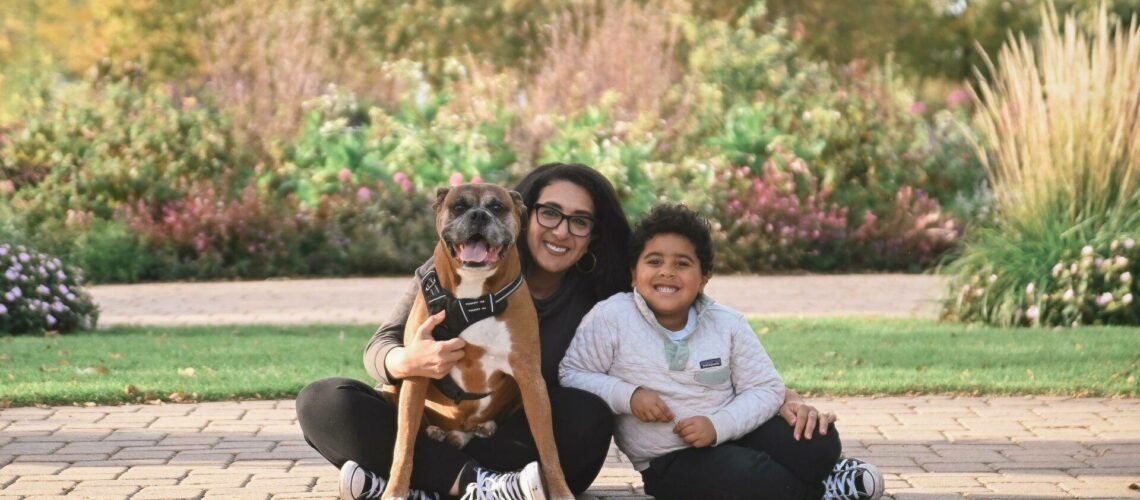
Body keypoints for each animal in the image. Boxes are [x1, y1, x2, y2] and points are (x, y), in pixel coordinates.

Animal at [380, 184, 574, 500]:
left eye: (497, 207)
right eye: (459, 206)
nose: (479, 216)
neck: (473, 299)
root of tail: (462, 431)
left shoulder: (530, 377)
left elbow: (548, 447)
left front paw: (559, 490)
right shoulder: (417, 371)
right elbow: (404, 444)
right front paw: (395, 490)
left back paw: (485, 429)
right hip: (395, 380)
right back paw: (435, 432)